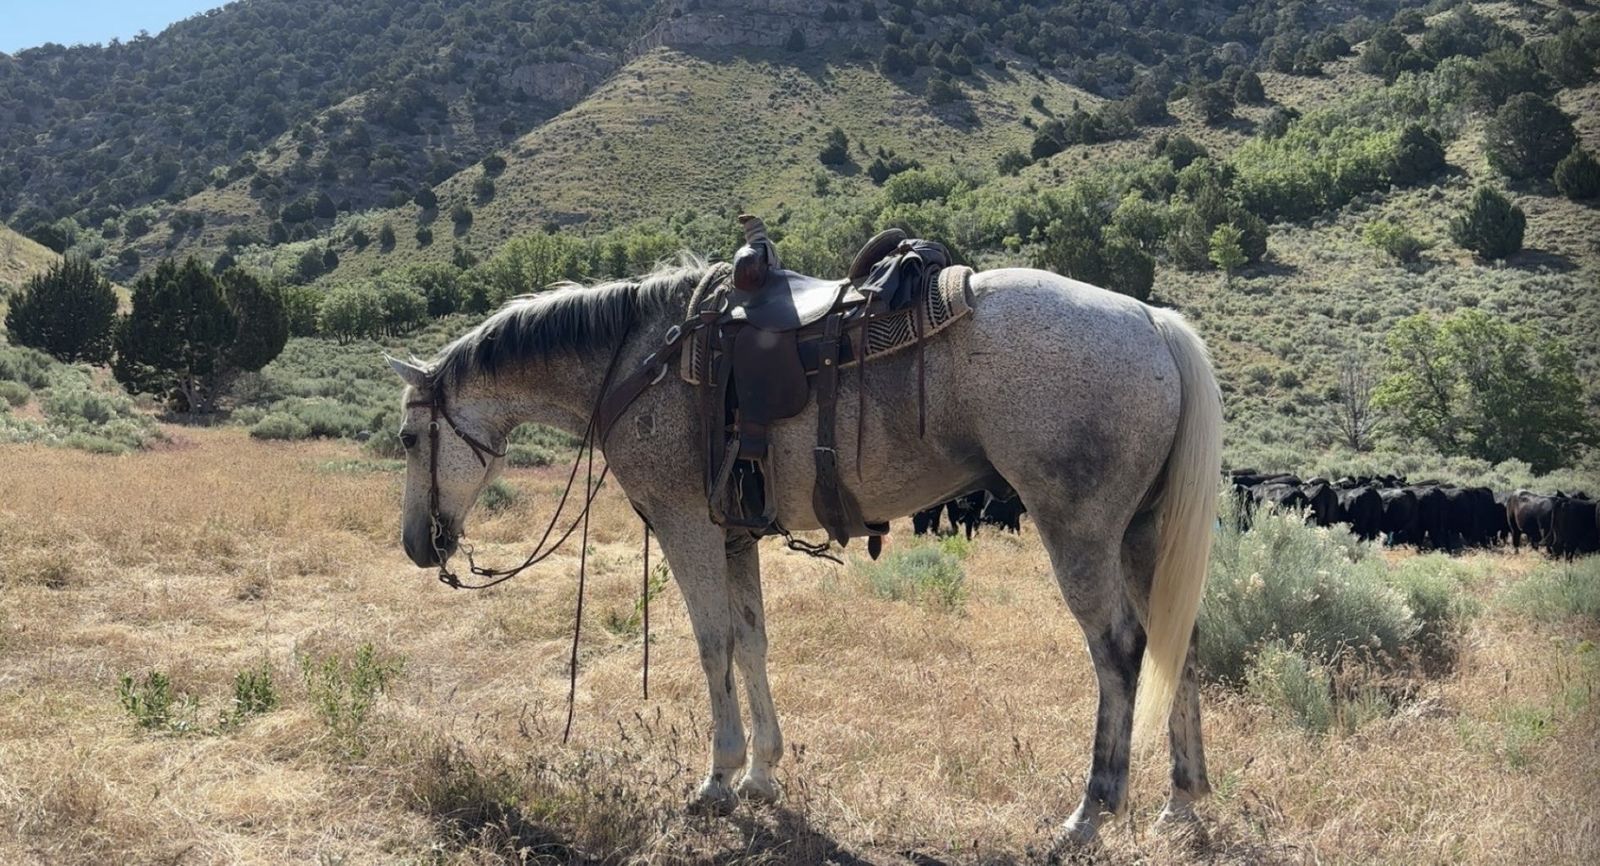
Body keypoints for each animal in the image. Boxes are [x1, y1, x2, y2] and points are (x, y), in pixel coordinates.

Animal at [386, 259, 1223, 851]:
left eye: (407, 437)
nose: (419, 546)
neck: (636, 362)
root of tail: (1151, 320)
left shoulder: (686, 526)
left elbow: (713, 644)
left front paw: (718, 779)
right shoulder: (733, 533)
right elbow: (751, 642)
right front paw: (763, 772)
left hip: (1078, 531)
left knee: (1119, 652)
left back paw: (1090, 814)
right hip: (1142, 535)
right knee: (1176, 642)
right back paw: (1180, 805)